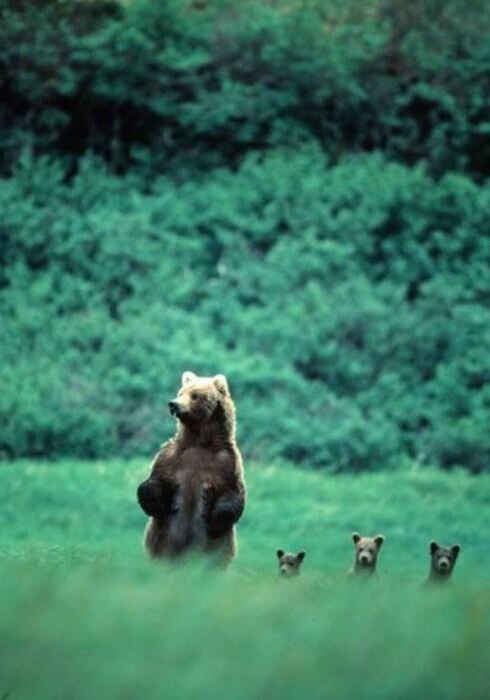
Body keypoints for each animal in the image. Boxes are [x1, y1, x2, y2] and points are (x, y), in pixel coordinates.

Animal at [137, 370, 245, 568]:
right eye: (181, 392)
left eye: (195, 395)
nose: (173, 404)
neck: (198, 441)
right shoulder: (171, 457)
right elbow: (155, 481)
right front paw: (156, 502)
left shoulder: (227, 463)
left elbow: (233, 494)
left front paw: (215, 520)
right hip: (162, 546)